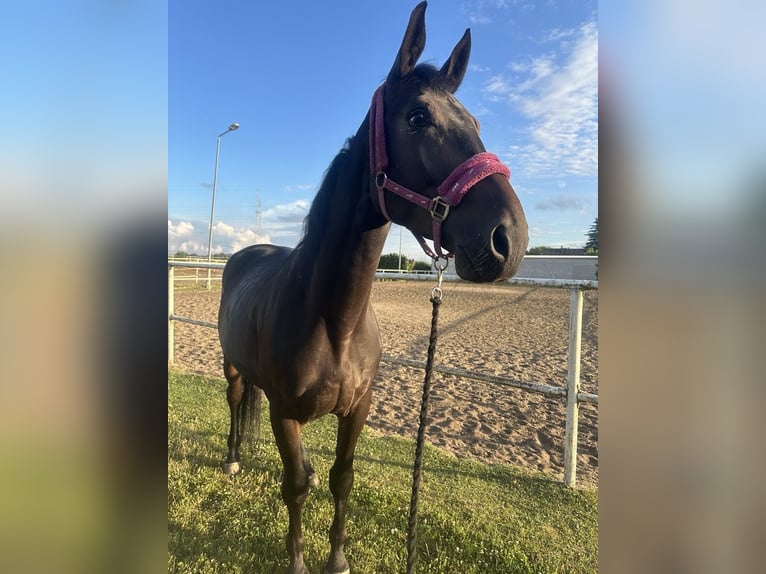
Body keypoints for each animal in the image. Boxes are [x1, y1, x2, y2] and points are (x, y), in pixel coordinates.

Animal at [216, 2, 528, 572]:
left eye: (475, 123)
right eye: (418, 117)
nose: (509, 239)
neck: (333, 321)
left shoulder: (357, 409)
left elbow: (341, 479)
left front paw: (337, 558)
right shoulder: (283, 411)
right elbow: (295, 486)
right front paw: (297, 561)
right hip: (233, 367)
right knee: (234, 398)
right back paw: (230, 458)